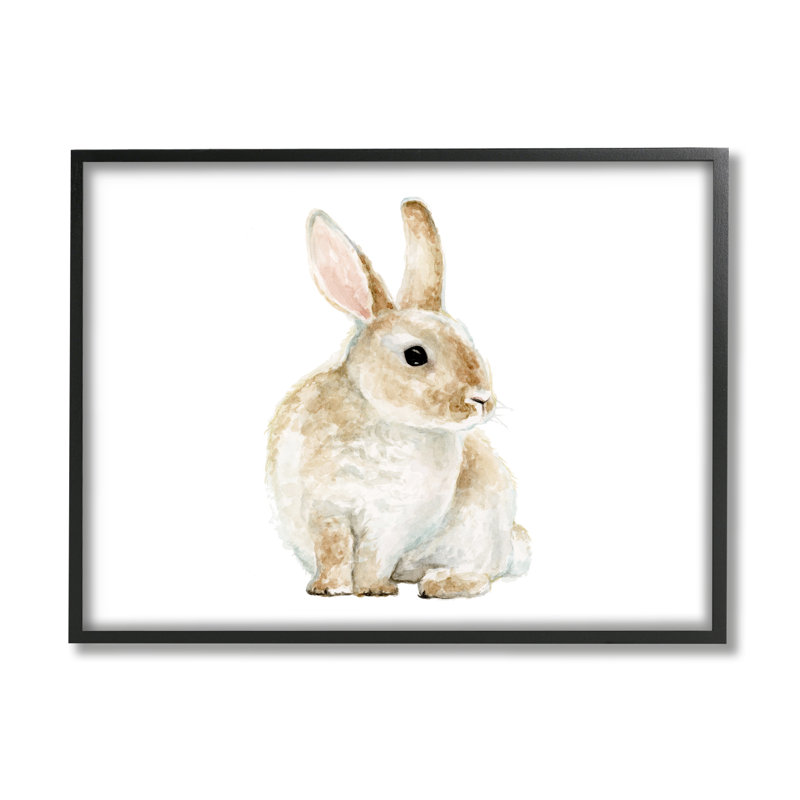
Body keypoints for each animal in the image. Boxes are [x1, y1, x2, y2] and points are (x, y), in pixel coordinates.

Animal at [266, 199, 530, 598]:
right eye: (415, 355)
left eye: (467, 339)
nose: (482, 398)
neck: (384, 419)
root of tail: (513, 546)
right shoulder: (326, 510)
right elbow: (333, 548)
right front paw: (329, 588)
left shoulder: (392, 524)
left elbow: (374, 556)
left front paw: (374, 589)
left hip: (480, 536)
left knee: (482, 574)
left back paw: (440, 583)